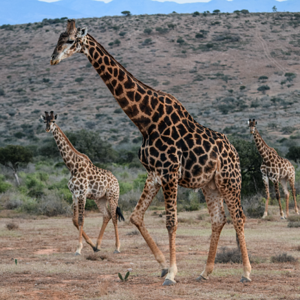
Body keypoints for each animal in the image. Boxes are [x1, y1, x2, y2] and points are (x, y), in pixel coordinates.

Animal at [50, 19, 252, 286]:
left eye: (71, 40)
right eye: (58, 38)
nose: (53, 58)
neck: (146, 120)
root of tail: (235, 151)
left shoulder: (170, 173)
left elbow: (171, 222)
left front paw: (172, 274)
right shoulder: (154, 174)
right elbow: (136, 217)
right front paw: (164, 266)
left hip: (229, 179)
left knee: (239, 216)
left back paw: (246, 272)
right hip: (209, 184)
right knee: (219, 219)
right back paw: (205, 272)